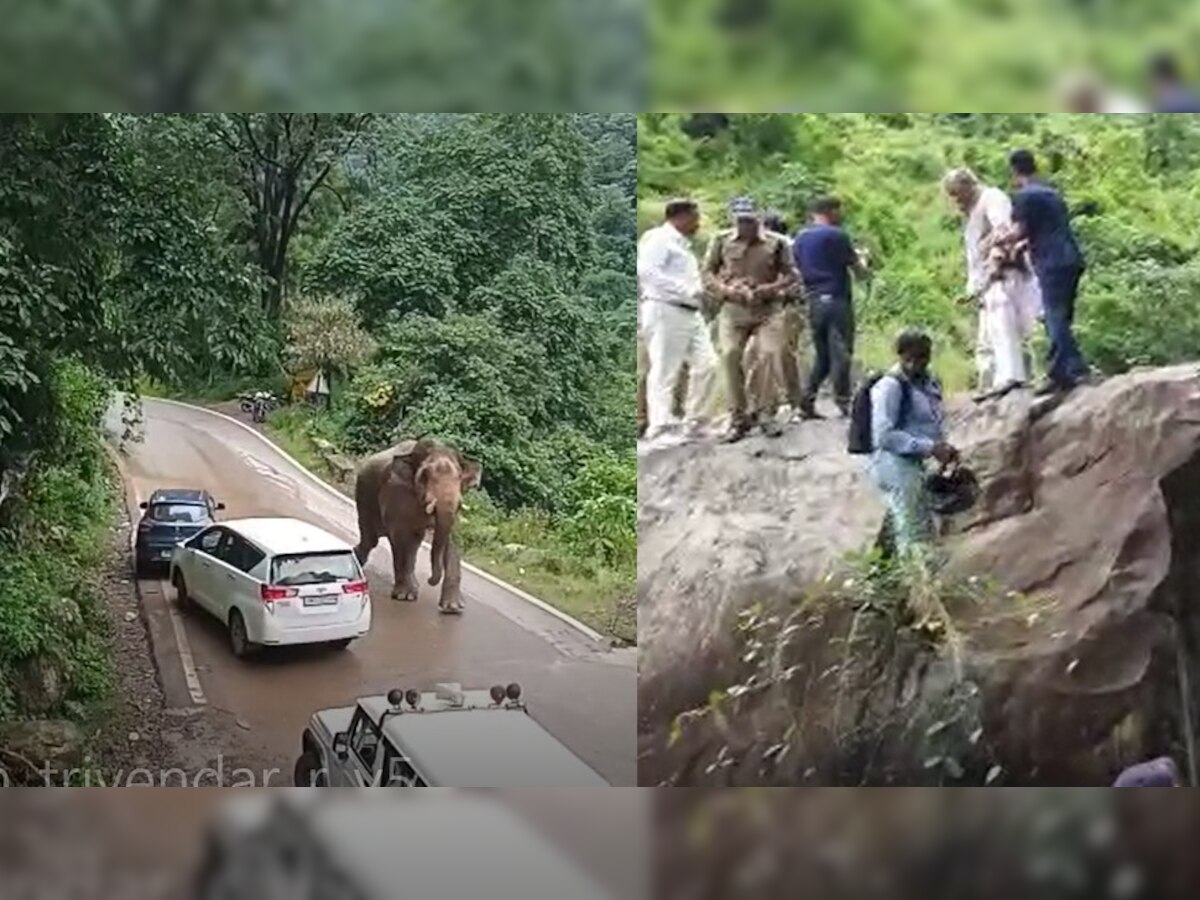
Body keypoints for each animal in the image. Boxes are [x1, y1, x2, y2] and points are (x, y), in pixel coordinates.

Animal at [352, 436, 484, 614]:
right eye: (424, 475)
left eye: (459, 477)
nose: (430, 580)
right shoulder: (396, 493)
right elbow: (400, 535)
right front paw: (405, 596)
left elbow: (452, 540)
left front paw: (453, 608)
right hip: (364, 497)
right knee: (371, 540)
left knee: (412, 543)